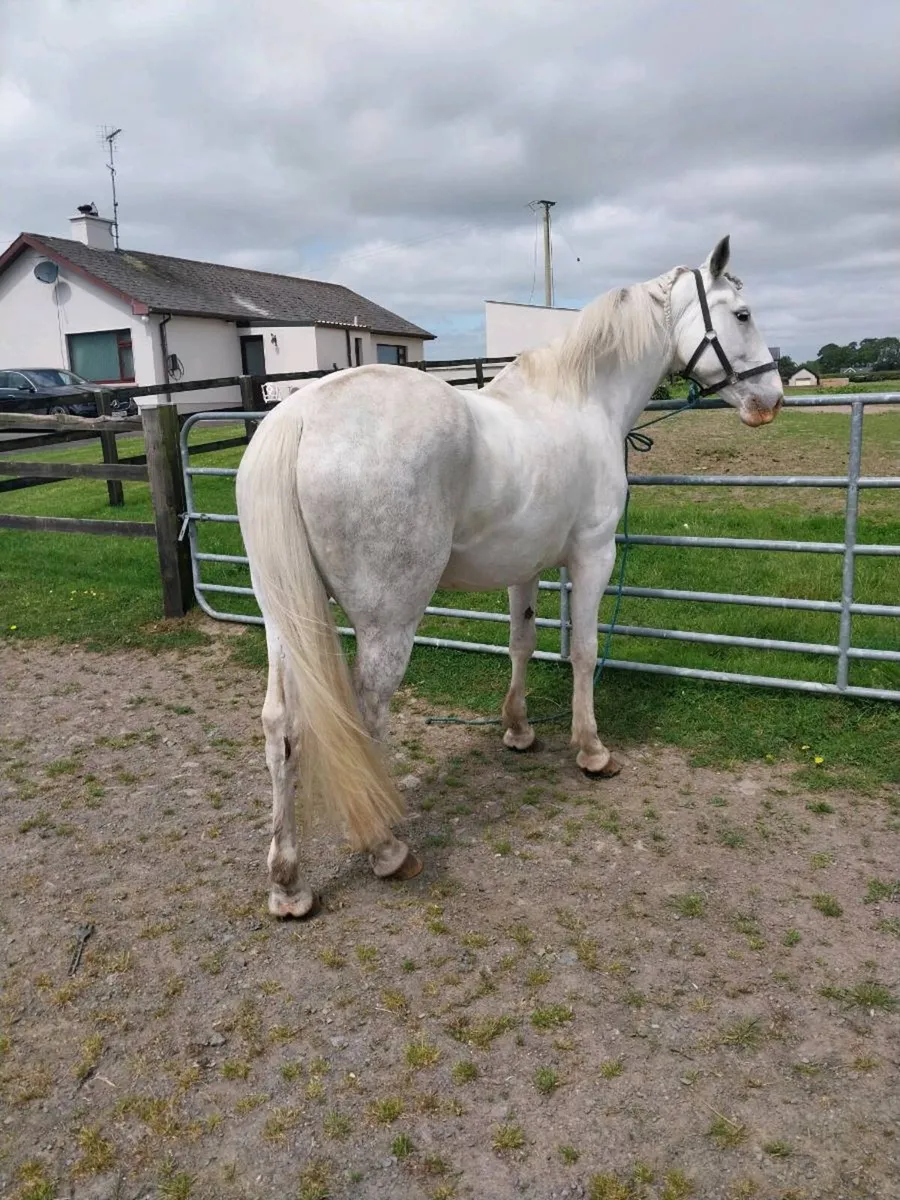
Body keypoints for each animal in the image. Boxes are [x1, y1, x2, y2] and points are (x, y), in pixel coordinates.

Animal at [235, 235, 784, 917]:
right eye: (743, 314)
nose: (772, 400)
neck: (581, 400)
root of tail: (301, 415)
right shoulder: (593, 556)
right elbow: (583, 651)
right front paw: (591, 750)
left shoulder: (525, 566)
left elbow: (522, 642)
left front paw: (518, 730)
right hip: (388, 621)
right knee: (363, 718)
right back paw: (387, 850)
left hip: (284, 617)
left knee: (280, 729)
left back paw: (287, 883)